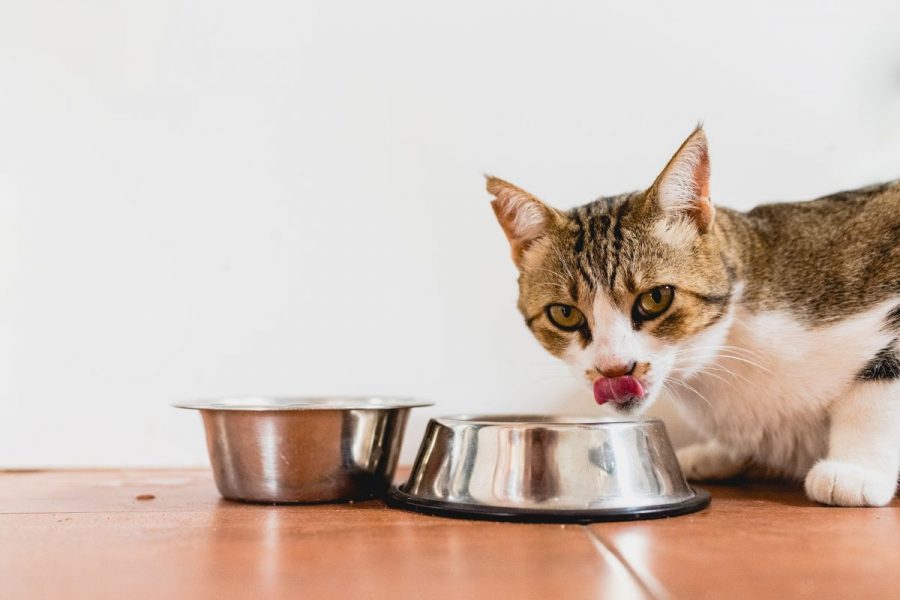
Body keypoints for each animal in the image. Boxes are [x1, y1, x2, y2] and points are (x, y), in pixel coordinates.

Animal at [488, 125, 896, 506]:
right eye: (565, 314)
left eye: (656, 298)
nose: (614, 370)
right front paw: (719, 454)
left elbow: (876, 389)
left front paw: (856, 470)